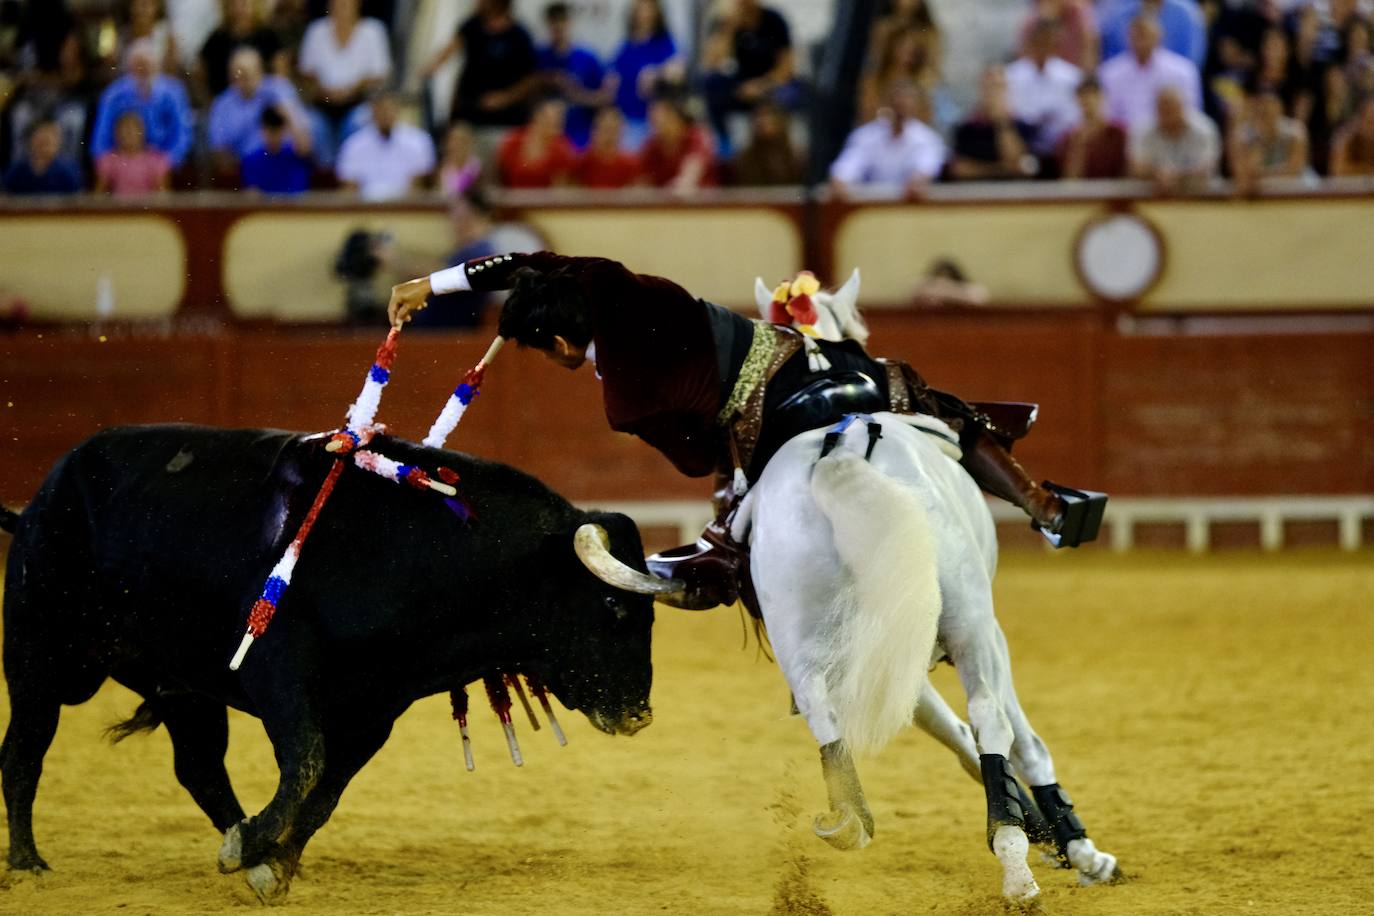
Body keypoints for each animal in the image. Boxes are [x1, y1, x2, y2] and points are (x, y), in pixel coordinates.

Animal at [0, 425, 659, 889]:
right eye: (613, 606)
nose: (639, 714)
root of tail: (37, 501)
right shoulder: (280, 675)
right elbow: (307, 765)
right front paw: (260, 853)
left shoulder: (374, 709)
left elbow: (324, 792)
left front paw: (273, 864)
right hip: (37, 657)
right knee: (25, 750)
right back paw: (28, 862)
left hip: (181, 684)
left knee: (199, 767)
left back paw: (241, 843)